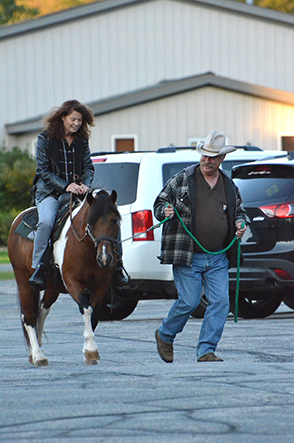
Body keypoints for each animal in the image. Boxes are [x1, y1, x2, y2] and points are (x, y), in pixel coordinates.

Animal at [7, 189, 120, 366]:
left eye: (114, 221)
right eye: (90, 222)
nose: (104, 258)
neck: (85, 246)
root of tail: (16, 220)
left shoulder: (102, 285)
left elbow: (93, 314)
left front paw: (89, 351)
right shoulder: (72, 282)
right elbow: (86, 308)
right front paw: (91, 350)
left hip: (52, 288)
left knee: (42, 310)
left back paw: (35, 349)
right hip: (23, 279)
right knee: (28, 316)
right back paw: (38, 356)